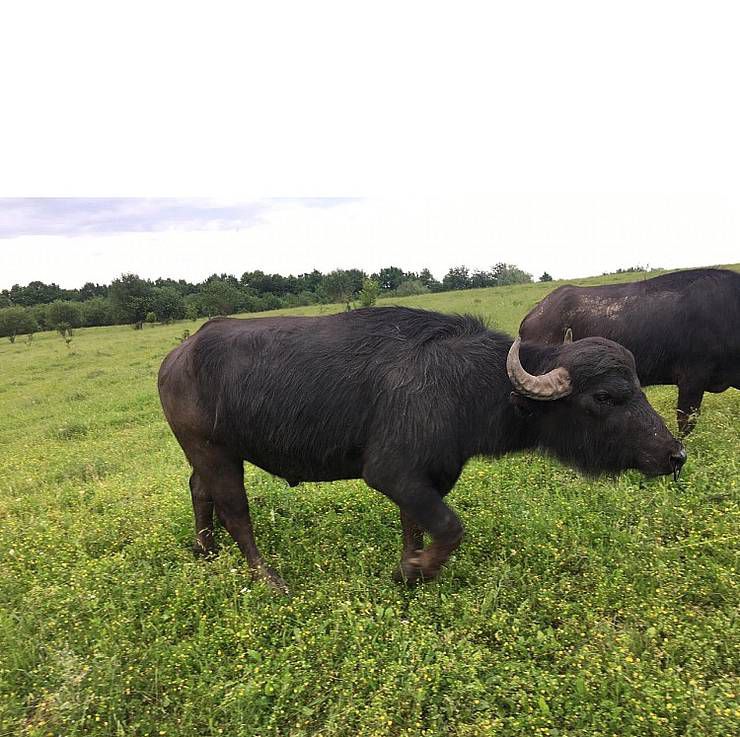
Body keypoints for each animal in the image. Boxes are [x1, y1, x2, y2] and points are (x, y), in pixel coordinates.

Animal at [159, 306, 684, 592]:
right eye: (606, 397)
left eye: (638, 386)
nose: (674, 454)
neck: (466, 386)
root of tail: (176, 358)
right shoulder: (391, 472)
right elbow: (451, 528)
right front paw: (416, 570)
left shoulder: (429, 476)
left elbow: (416, 524)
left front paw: (408, 565)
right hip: (215, 451)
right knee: (235, 512)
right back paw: (268, 578)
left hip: (204, 454)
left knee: (199, 491)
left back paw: (205, 551)